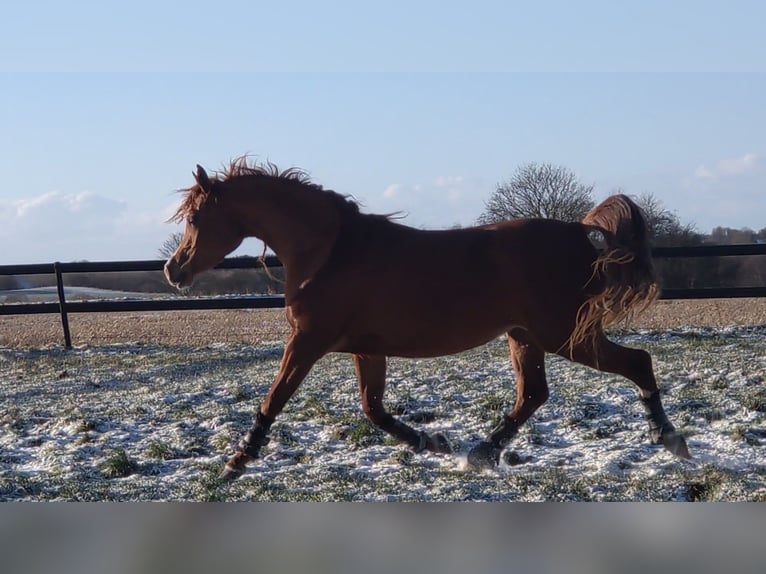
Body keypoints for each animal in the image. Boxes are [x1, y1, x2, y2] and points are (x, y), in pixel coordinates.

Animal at [165, 158, 692, 482]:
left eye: (194, 218)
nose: (174, 270)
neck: (328, 252)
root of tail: (580, 233)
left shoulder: (308, 341)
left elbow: (275, 398)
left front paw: (237, 461)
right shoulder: (366, 348)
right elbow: (374, 410)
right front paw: (432, 441)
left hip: (563, 335)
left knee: (638, 363)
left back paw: (670, 438)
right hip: (525, 336)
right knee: (533, 394)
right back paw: (481, 452)